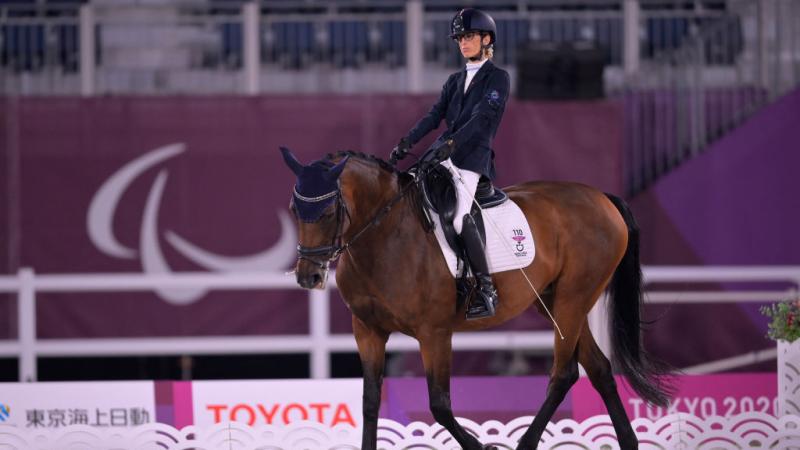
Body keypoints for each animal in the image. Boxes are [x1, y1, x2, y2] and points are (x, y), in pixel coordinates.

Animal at [278, 149, 672, 450]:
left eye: (328, 212)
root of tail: (602, 197)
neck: (385, 236)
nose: (309, 277)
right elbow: (371, 401)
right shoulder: (368, 331)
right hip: (556, 303)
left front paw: (482, 446)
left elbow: (439, 405)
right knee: (599, 369)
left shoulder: (434, 333)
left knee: (564, 373)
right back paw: (628, 442)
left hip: (574, 299)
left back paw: (526, 444)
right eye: (295, 210)